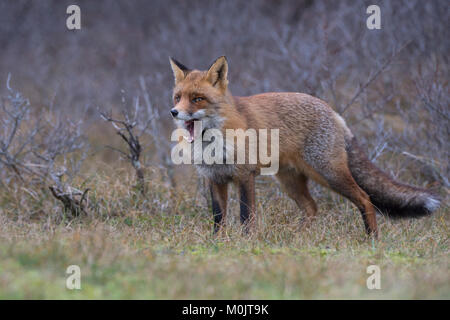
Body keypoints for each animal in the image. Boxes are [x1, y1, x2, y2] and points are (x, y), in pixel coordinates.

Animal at [169, 55, 440, 238]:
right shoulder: (214, 178)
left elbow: (246, 217)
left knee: (365, 198)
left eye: (197, 99)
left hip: (329, 174)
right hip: (290, 181)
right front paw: (219, 243)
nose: (174, 112)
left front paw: (246, 243)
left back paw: (372, 239)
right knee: (312, 207)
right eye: (178, 97)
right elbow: (218, 218)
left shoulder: (244, 176)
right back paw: (297, 237)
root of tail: (332, 110)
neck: (212, 143)